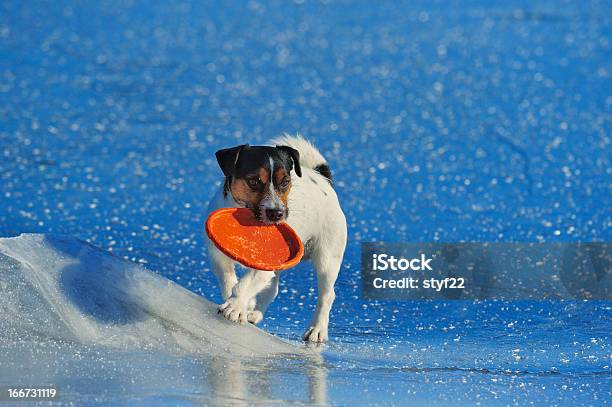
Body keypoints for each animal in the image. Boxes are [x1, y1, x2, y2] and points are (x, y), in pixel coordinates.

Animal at [206, 135, 346, 342]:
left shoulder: (263, 267)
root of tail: (323, 180)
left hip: (328, 259)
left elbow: (245, 283)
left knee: (327, 295)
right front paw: (241, 305)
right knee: (272, 289)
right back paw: (254, 313)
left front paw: (235, 306)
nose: (277, 213)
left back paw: (317, 330)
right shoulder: (217, 255)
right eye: (254, 181)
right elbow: (228, 279)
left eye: (285, 181)